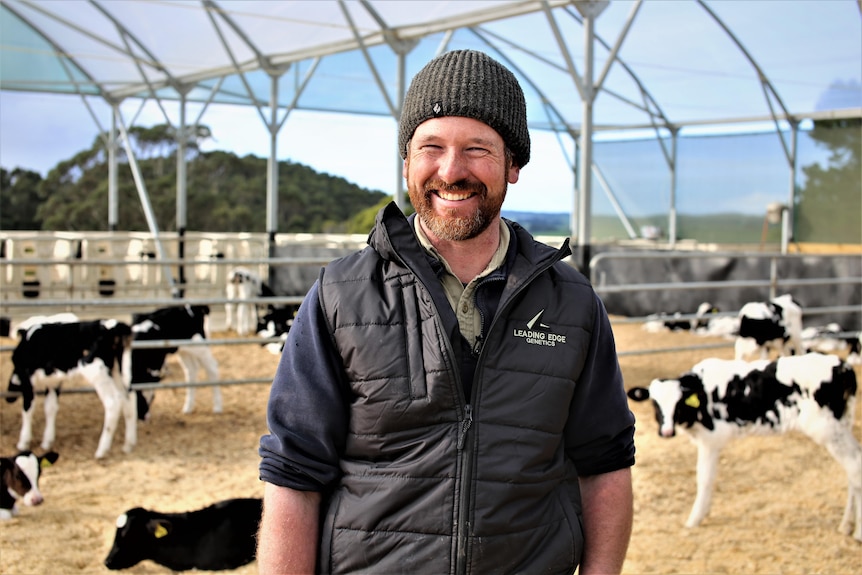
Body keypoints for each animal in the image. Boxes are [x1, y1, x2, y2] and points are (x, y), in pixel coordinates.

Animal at [6, 322, 136, 462]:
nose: (8, 398)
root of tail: (112, 326)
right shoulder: (54, 383)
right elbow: (50, 408)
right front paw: (47, 441)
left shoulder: (27, 379)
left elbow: (27, 410)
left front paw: (23, 442)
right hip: (119, 371)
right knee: (129, 398)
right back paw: (128, 444)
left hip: (98, 374)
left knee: (113, 402)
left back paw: (102, 450)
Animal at [628, 354, 862, 544]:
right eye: (654, 403)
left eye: (678, 402)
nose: (666, 432)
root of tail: (843, 367)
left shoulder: (711, 440)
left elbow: (705, 478)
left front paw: (694, 518)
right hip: (842, 426)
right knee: (854, 466)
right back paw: (845, 525)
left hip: (827, 430)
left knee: (855, 467)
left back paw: (857, 533)